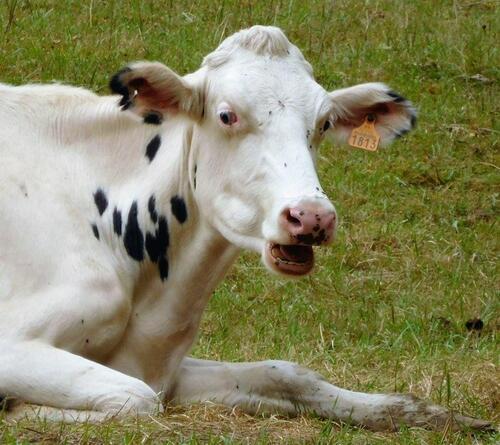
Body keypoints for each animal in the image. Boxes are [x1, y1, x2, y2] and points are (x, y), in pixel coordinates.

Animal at [0, 25, 492, 430]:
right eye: (226, 115)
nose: (311, 216)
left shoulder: (164, 368)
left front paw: (436, 414)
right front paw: (20, 409)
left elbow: (287, 373)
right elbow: (135, 398)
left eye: (323, 123)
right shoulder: (16, 345)